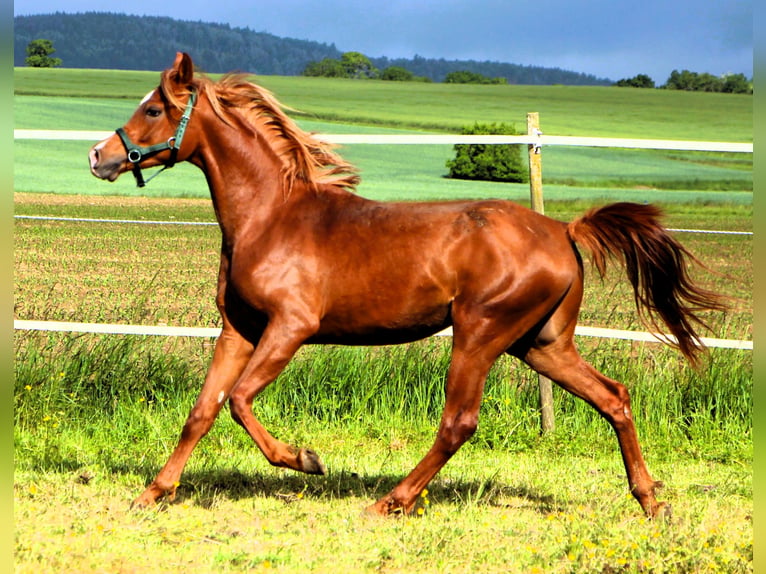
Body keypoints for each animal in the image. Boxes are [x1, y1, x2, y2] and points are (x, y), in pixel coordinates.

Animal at [89, 52, 725, 518]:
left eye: (154, 109)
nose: (99, 156)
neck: (271, 217)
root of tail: (564, 230)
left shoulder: (291, 326)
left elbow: (241, 401)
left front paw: (306, 459)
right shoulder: (239, 328)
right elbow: (204, 409)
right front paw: (152, 493)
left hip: (481, 333)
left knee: (459, 422)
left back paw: (389, 501)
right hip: (541, 343)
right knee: (614, 397)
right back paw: (651, 502)